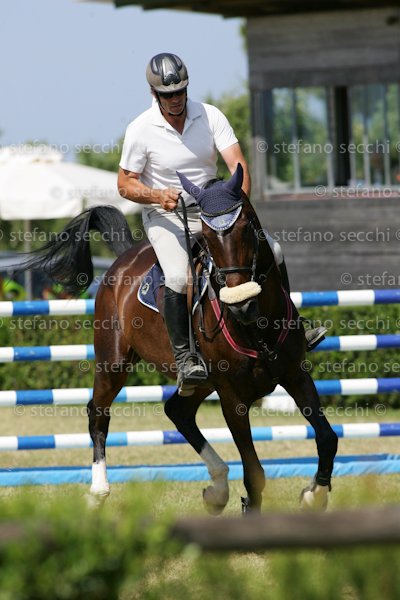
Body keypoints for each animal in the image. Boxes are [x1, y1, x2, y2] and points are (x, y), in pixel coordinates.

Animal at [20, 163, 338, 514]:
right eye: (208, 237)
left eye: (246, 228)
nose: (241, 304)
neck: (255, 326)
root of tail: (124, 259)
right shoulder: (232, 398)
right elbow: (254, 472)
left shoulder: (295, 375)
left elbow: (327, 438)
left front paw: (314, 494)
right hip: (114, 363)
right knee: (98, 413)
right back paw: (98, 490)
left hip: (200, 382)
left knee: (178, 411)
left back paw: (217, 488)